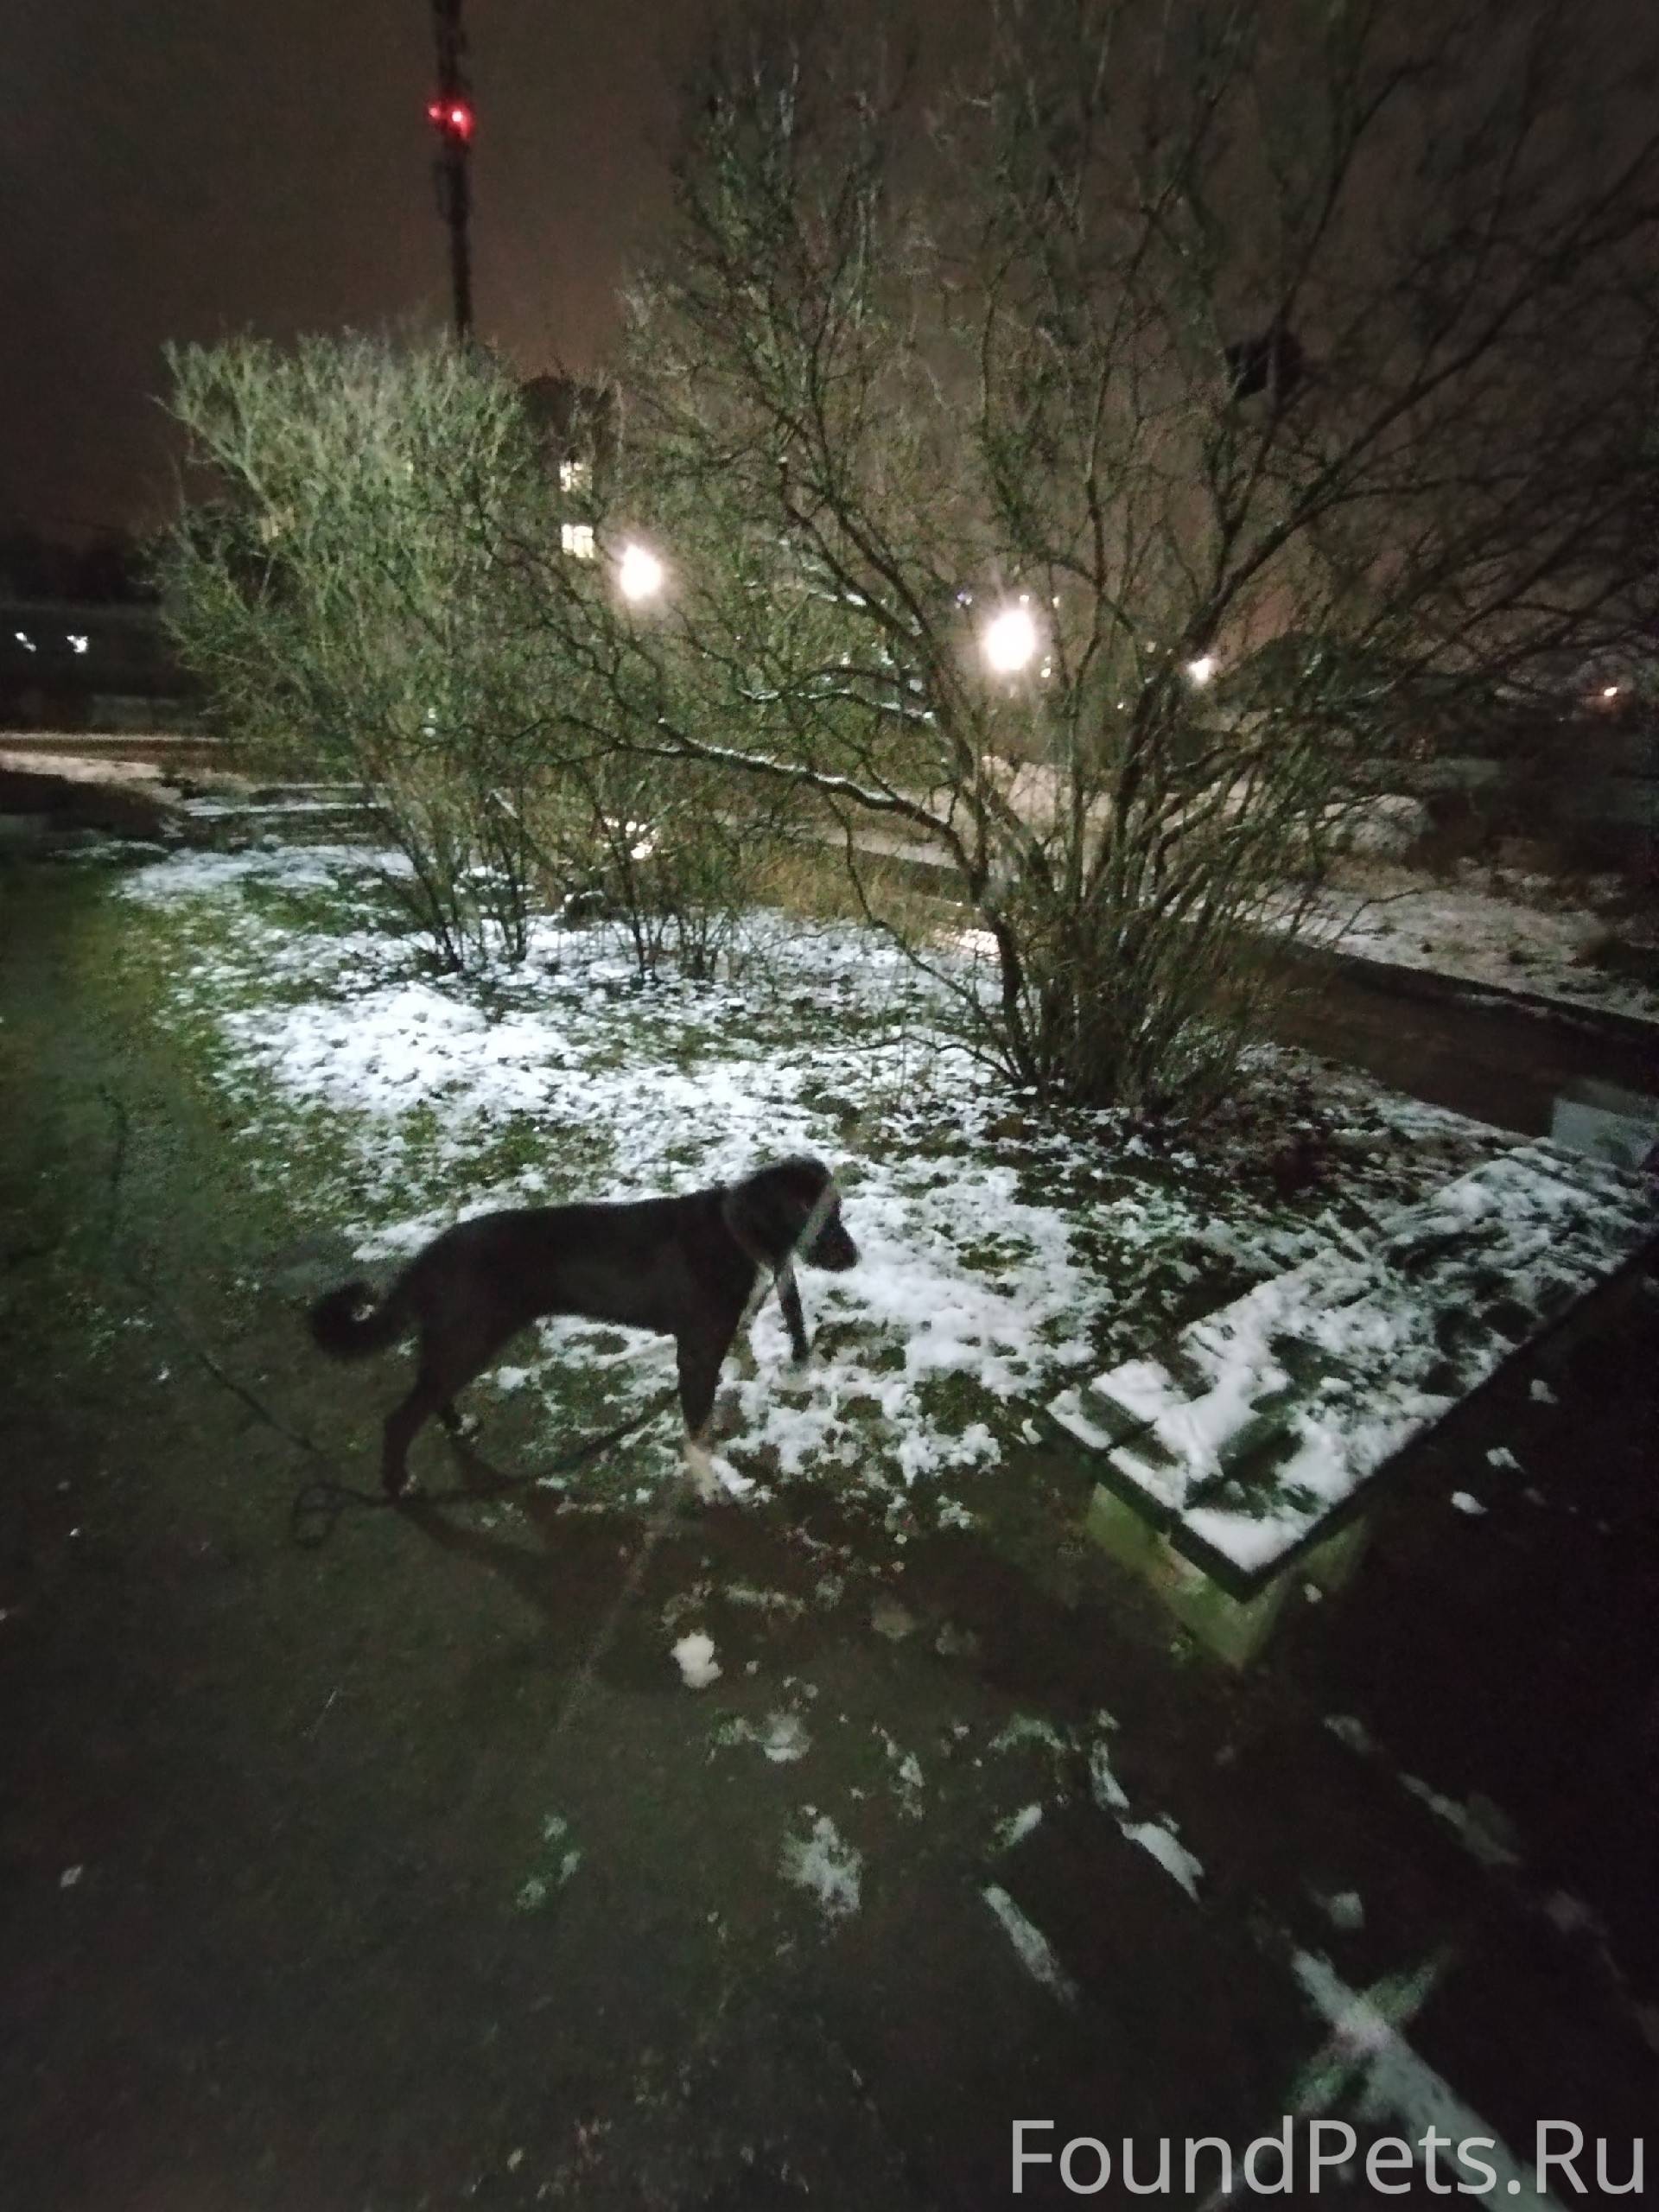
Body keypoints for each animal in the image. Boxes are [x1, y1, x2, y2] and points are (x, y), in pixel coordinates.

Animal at [307, 1155, 857, 1498]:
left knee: (431, 1393)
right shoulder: (698, 1351)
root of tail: (429, 1258)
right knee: (400, 1418)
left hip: (457, 1343)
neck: (734, 1232)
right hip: (468, 1340)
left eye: (840, 1210)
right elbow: (695, 1428)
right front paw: (707, 1481)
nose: (854, 1257)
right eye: (814, 1212)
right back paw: (398, 1482)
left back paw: (457, 1426)